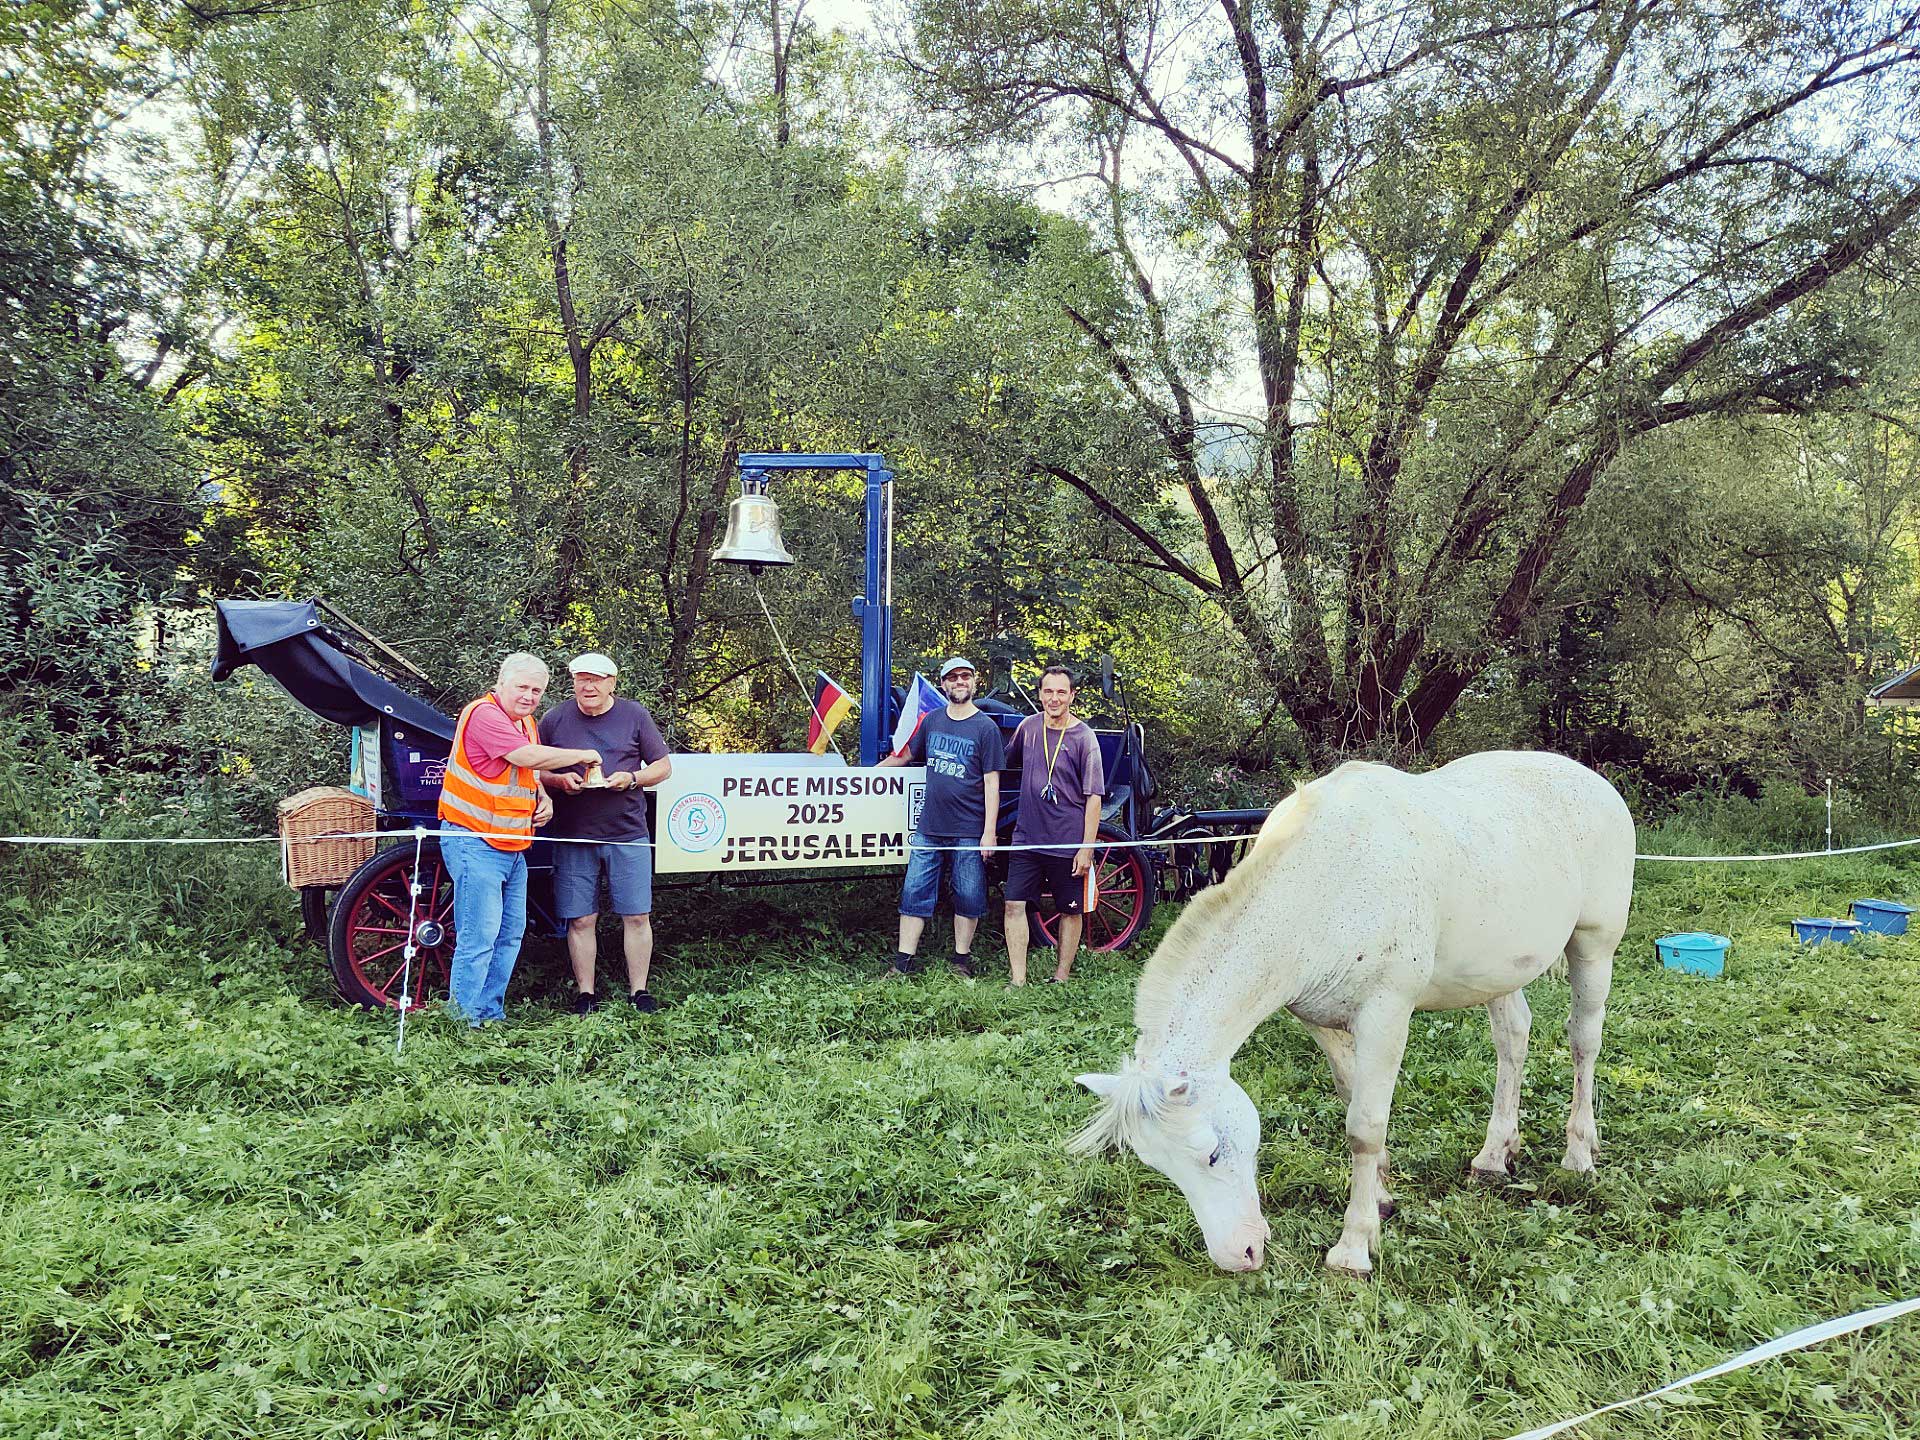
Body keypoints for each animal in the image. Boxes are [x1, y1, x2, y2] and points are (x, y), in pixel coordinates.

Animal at [1075, 748, 1628, 1282]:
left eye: (1211, 1154)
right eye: (1158, 1165)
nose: (1240, 1255)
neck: (1327, 884)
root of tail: (1593, 781)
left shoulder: (1386, 1015)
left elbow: (1364, 1127)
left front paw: (1353, 1247)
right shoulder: (1321, 1021)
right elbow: (1350, 1100)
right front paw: (1381, 1199)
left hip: (1594, 949)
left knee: (1584, 1042)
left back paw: (1579, 1152)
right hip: (1498, 973)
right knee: (1513, 1038)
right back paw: (1495, 1155)